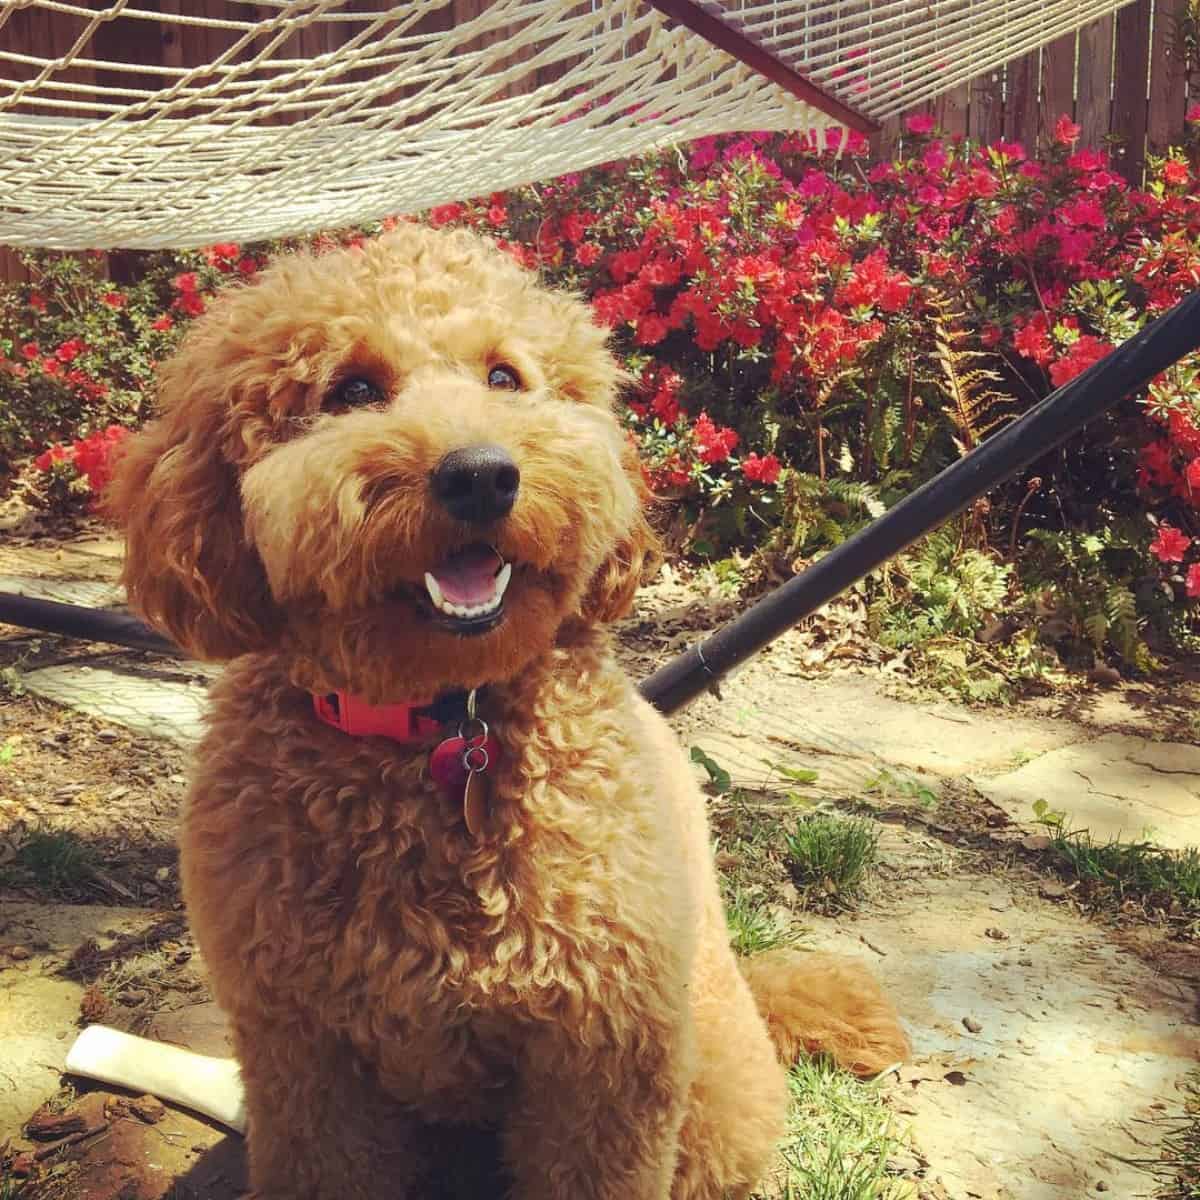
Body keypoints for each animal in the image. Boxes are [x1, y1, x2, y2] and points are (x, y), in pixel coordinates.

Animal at [108, 226, 902, 1200]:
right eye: (352, 389)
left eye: (504, 377)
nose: (482, 476)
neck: (446, 727)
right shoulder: (306, 1057)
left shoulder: (603, 1060)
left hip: (709, 1089)